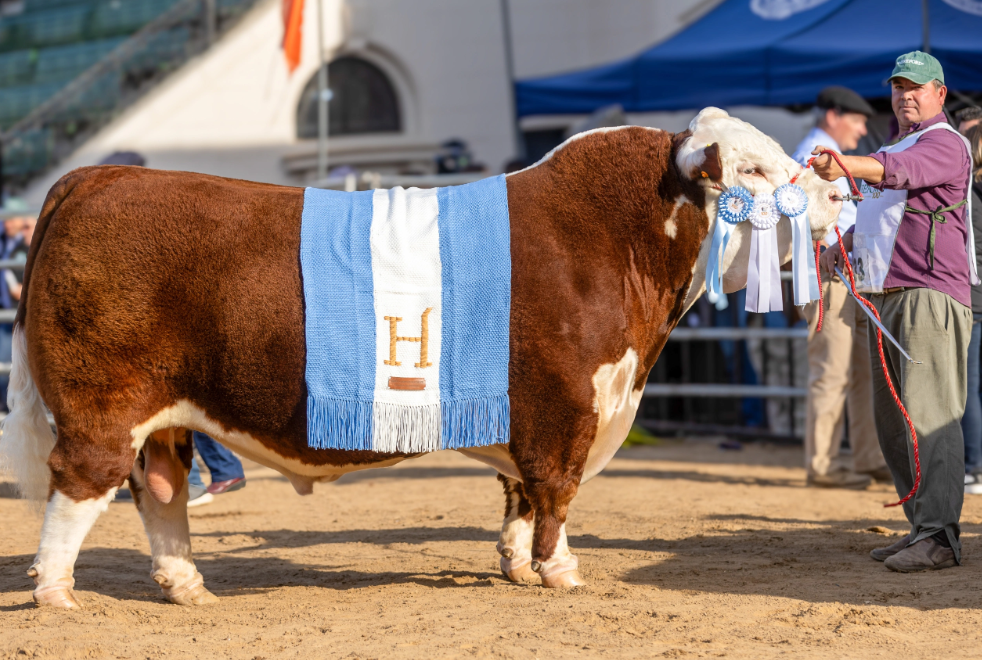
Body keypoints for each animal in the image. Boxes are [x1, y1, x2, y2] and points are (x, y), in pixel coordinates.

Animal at [0, 108, 840, 608]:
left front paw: (514, 565)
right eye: (754, 171)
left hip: (168, 414)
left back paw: (187, 586)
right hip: (103, 402)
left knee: (162, 492)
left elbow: (517, 494)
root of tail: (99, 175)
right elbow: (556, 492)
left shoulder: (524, 410)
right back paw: (57, 595)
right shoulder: (566, 404)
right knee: (81, 487)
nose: (835, 192)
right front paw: (560, 573)